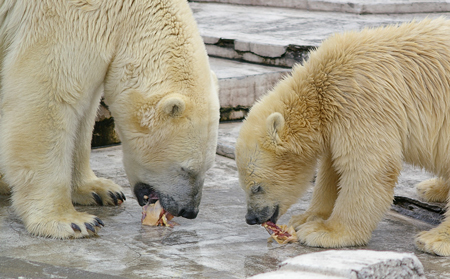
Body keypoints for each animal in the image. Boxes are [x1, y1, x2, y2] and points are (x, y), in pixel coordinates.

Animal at [0, 0, 220, 241]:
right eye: (186, 169)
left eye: (208, 167)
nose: (189, 211)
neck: (130, 13)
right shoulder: (62, 22)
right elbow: (47, 99)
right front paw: (72, 221)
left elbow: (85, 111)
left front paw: (99, 190)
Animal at [234, 18, 450, 258]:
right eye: (243, 184)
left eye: (257, 187)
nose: (251, 218)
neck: (319, 88)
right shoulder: (337, 119)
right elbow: (332, 170)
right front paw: (305, 218)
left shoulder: (359, 102)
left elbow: (368, 166)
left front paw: (326, 232)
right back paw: (433, 188)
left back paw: (434, 239)